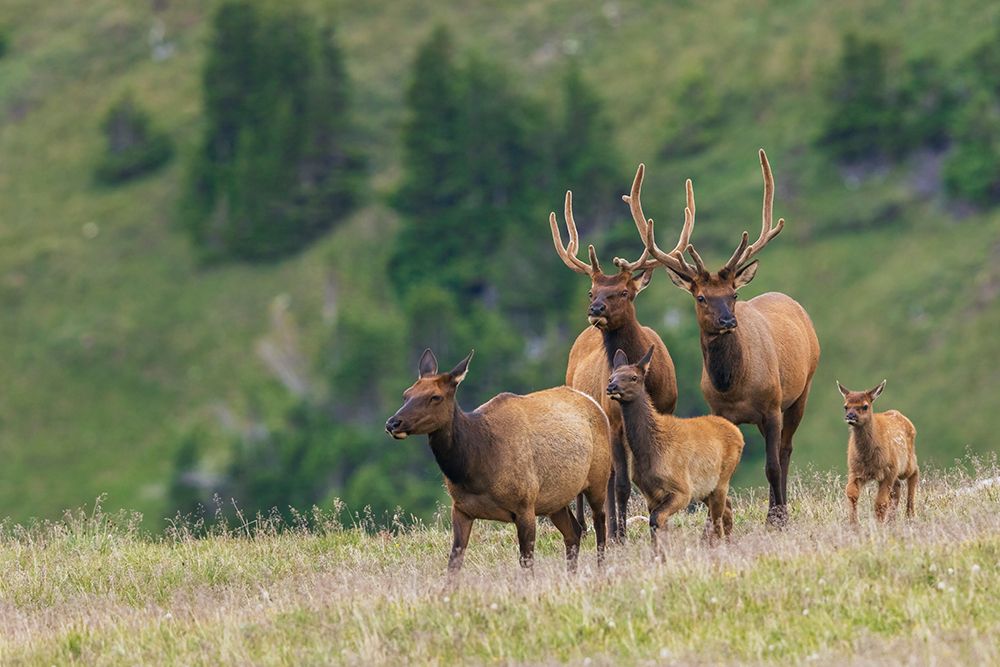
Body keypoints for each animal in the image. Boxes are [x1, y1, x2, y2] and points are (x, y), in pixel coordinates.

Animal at [385, 349, 611, 576]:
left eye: (435, 397)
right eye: (406, 394)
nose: (392, 423)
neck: (476, 471)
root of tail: (592, 402)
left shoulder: (525, 505)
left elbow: (526, 562)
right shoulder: (461, 508)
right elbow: (454, 562)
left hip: (598, 479)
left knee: (600, 523)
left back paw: (601, 571)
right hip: (555, 500)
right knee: (574, 532)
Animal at [550, 169, 678, 542]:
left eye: (623, 291)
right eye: (592, 290)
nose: (594, 309)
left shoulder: (667, 409)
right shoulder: (616, 422)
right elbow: (621, 483)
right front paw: (619, 534)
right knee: (599, 478)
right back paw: (595, 527)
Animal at [606, 347, 744, 553]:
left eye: (633, 377)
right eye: (611, 377)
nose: (612, 387)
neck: (651, 452)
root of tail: (738, 434)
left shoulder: (682, 488)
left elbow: (656, 519)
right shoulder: (650, 494)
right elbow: (657, 526)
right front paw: (659, 554)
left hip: (722, 477)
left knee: (717, 516)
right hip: (705, 487)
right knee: (726, 507)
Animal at [633, 150, 820, 526]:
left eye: (733, 293)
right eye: (701, 297)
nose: (728, 320)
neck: (733, 386)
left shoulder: (773, 406)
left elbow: (771, 466)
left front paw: (777, 518)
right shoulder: (721, 412)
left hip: (801, 390)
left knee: (785, 451)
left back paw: (780, 508)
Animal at [837, 380, 918, 523]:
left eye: (865, 406)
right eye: (845, 406)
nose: (850, 416)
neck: (868, 458)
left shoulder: (888, 471)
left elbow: (880, 502)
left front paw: (878, 524)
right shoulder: (855, 470)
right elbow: (851, 493)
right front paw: (854, 524)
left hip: (905, 463)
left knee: (915, 471)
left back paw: (910, 515)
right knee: (897, 488)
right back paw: (892, 520)